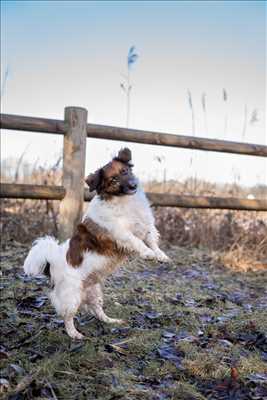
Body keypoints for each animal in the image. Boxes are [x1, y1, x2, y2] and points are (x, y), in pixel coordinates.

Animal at [23, 148, 170, 340]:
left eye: (125, 171)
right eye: (113, 179)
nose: (133, 185)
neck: (123, 201)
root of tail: (52, 260)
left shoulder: (145, 226)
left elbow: (152, 240)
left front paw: (160, 256)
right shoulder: (120, 232)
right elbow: (136, 241)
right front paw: (148, 254)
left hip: (94, 292)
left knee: (97, 311)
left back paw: (111, 321)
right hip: (72, 295)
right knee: (67, 317)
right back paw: (75, 334)